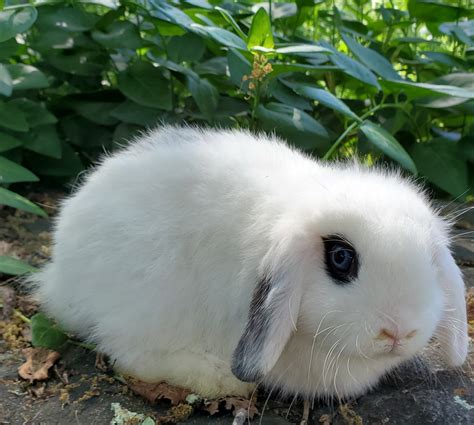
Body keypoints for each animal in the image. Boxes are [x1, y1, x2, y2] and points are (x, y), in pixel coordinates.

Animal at [32, 124, 466, 400]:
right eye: (341, 258)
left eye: (431, 261)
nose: (399, 331)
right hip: (148, 299)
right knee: (130, 355)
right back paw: (221, 380)